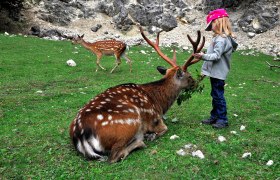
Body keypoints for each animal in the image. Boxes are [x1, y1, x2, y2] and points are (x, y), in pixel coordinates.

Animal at [69, 26, 205, 163]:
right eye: (189, 76)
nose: (196, 83)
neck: (160, 103)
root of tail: (80, 135)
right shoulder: (155, 119)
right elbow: (164, 129)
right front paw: (151, 135)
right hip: (130, 122)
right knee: (114, 156)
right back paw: (141, 141)